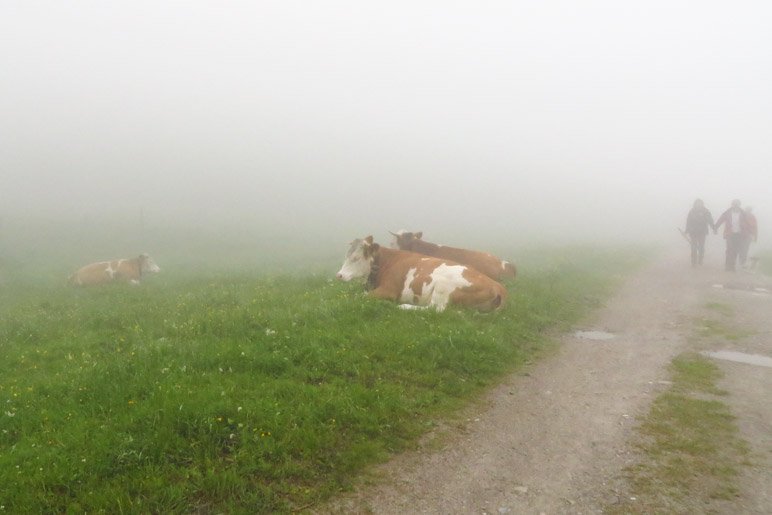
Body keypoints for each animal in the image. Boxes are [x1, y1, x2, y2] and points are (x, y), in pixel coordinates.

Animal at [336, 236, 506, 312]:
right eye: (346, 255)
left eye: (356, 258)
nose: (339, 275)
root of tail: (498, 286)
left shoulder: (388, 290)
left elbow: (358, 297)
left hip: (442, 287)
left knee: (435, 309)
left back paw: (404, 306)